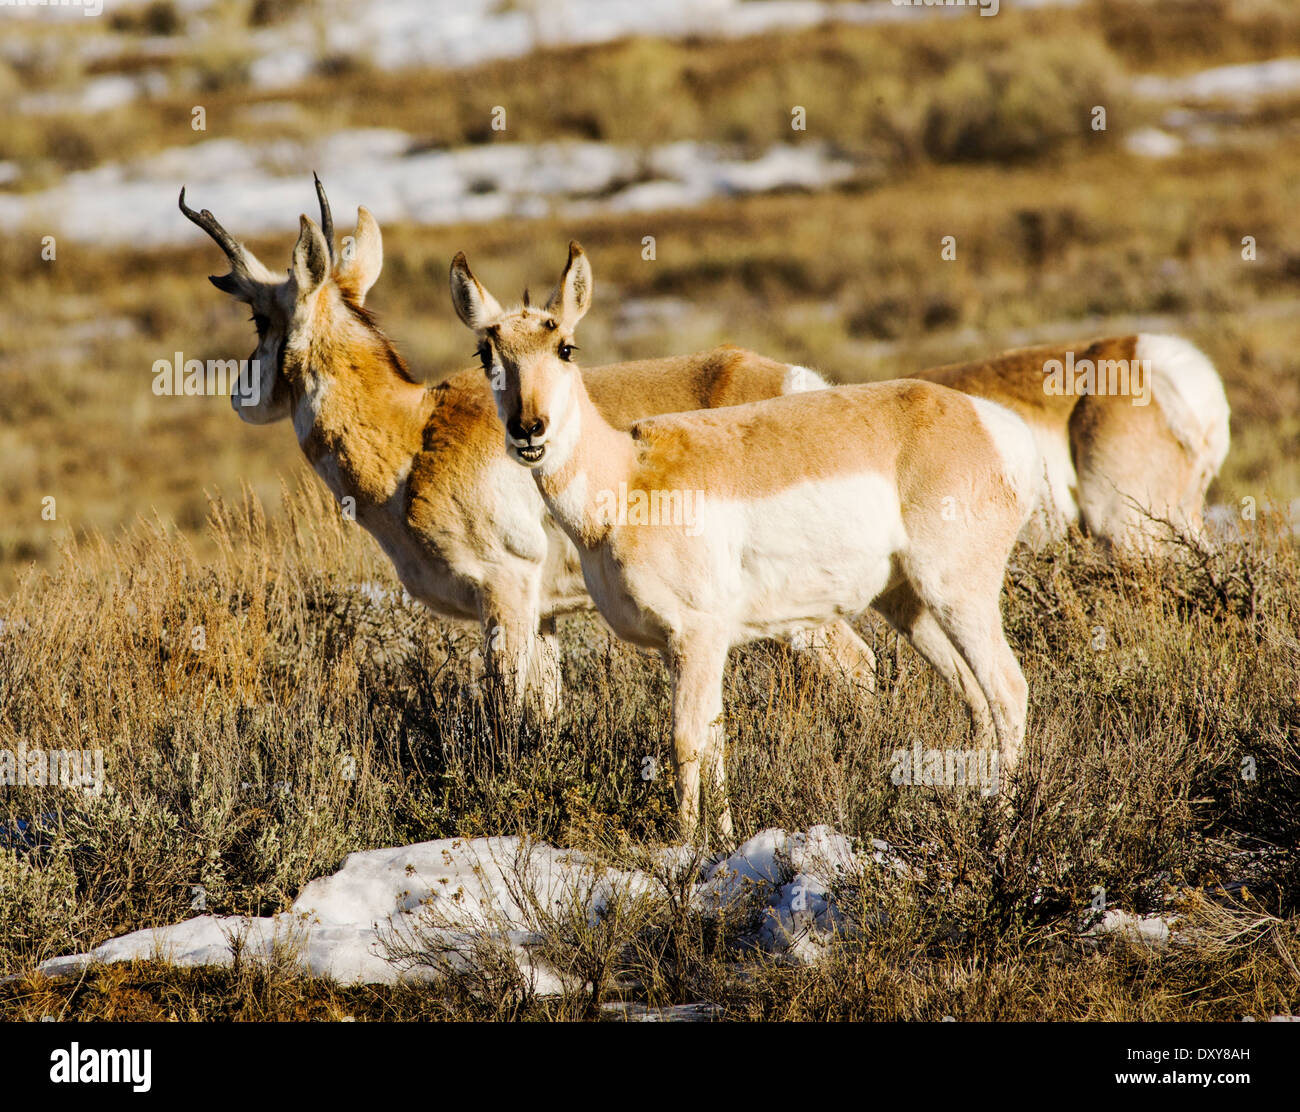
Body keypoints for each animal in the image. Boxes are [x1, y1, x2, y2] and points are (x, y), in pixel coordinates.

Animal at [178, 174, 878, 712]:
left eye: (258, 317)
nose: (241, 394)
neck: (415, 433)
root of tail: (804, 386)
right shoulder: (543, 615)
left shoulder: (506, 594)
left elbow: (509, 708)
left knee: (859, 663)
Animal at [452, 243, 1040, 832]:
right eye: (486, 353)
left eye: (565, 346)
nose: (529, 429)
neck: (626, 476)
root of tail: (986, 421)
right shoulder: (683, 649)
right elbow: (715, 739)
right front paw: (725, 837)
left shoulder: (697, 635)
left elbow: (686, 740)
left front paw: (687, 844)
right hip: (908, 604)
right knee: (974, 697)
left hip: (957, 594)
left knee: (1008, 691)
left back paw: (1001, 818)